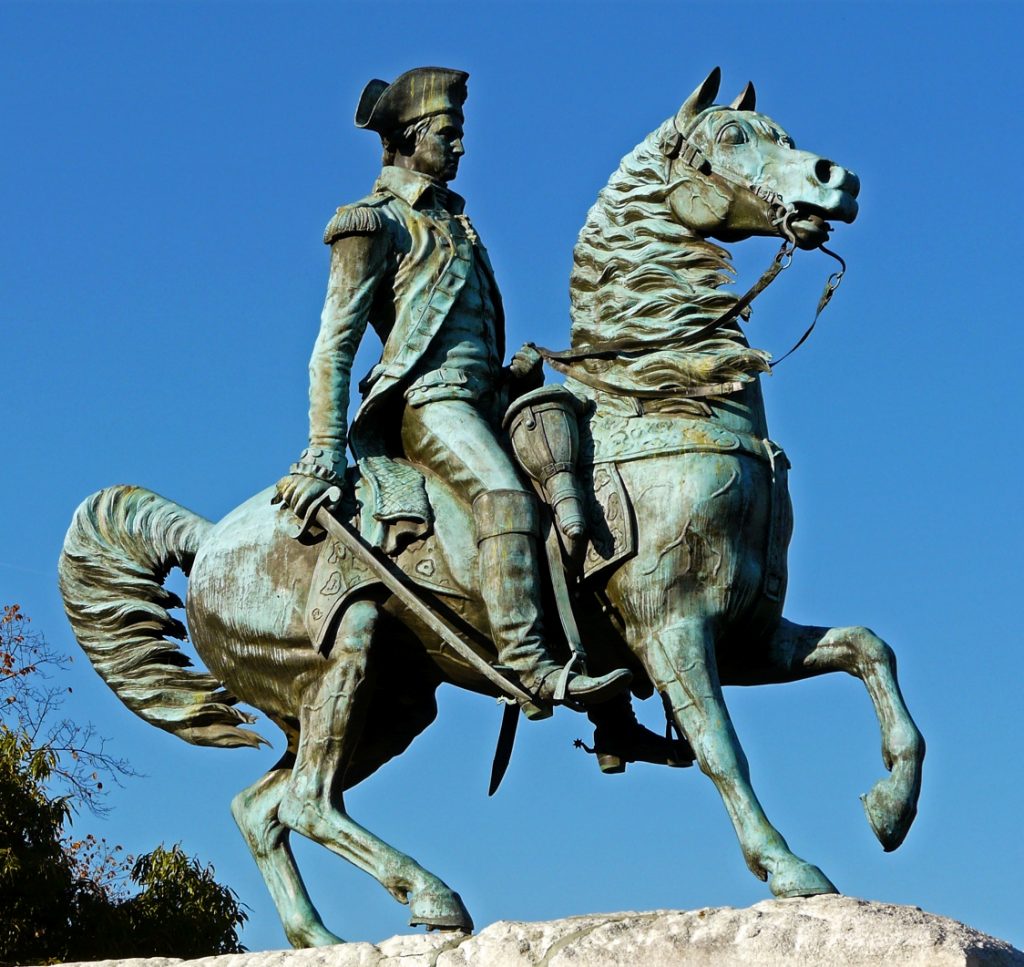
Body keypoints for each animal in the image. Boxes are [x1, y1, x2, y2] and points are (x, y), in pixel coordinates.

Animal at [56, 71, 925, 946]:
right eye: (734, 138)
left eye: (782, 135)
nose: (837, 179)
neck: (664, 398)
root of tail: (207, 543)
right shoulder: (670, 624)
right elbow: (722, 748)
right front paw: (788, 866)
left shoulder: (744, 632)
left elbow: (868, 648)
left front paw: (890, 808)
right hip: (345, 654)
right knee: (304, 799)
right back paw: (432, 894)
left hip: (393, 700)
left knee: (261, 806)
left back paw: (323, 937)